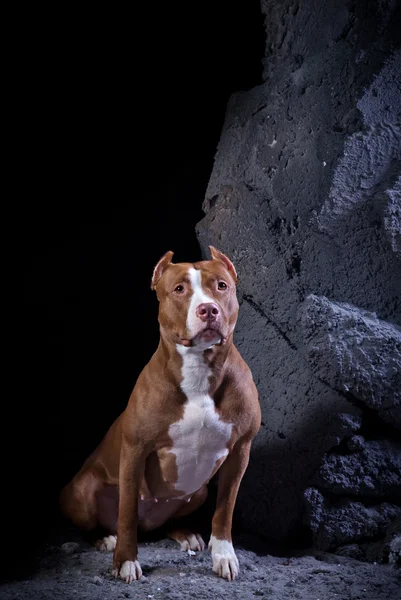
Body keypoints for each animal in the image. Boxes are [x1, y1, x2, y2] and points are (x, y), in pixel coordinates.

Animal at [58, 246, 260, 584]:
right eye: (179, 289)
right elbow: (126, 512)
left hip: (198, 491)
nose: (208, 310)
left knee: (168, 521)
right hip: (81, 492)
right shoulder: (135, 451)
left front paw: (224, 556)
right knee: (99, 523)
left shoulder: (240, 452)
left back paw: (185, 534)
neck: (199, 368)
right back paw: (105, 538)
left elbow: (225, 510)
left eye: (221, 286)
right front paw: (125, 561)